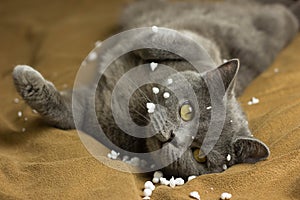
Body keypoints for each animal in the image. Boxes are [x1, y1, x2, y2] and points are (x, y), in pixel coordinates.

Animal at [12, 0, 300, 178]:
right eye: (186, 112)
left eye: (199, 156)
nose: (172, 136)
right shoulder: (198, 42)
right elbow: (167, 40)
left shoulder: (95, 118)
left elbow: (66, 113)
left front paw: (26, 81)